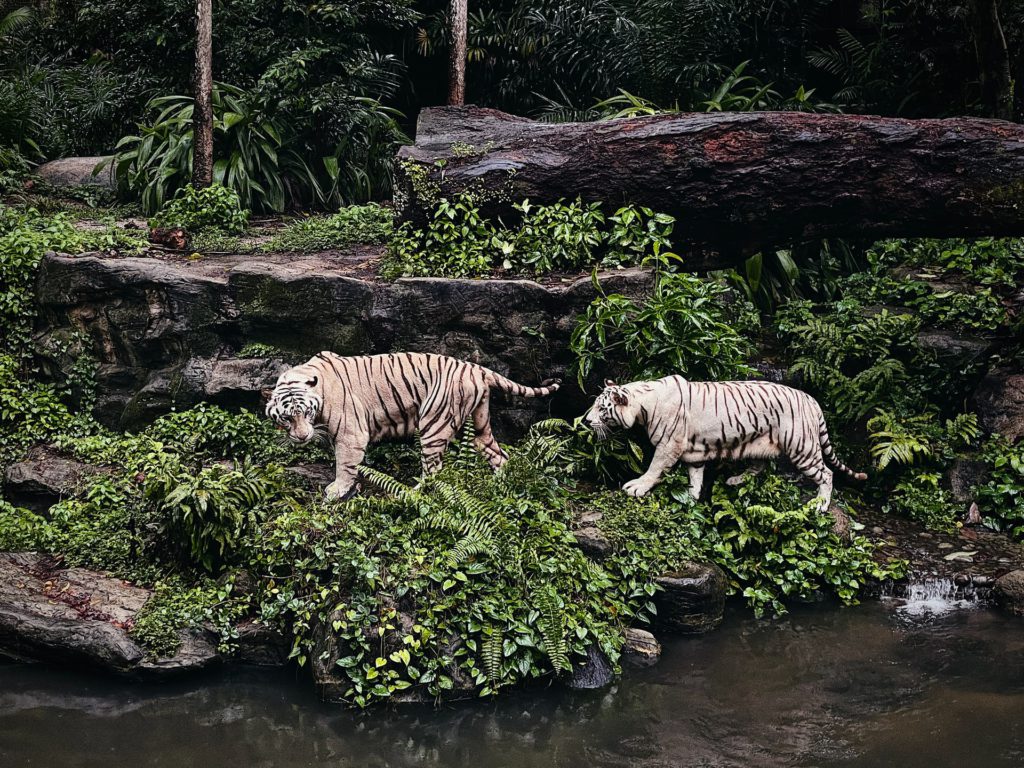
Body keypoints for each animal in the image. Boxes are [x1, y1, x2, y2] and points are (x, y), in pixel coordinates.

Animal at [264, 354, 561, 501]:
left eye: (306, 412)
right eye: (286, 418)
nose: (302, 437)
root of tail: (475, 367)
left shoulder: (351, 434)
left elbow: (345, 464)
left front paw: (337, 490)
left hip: (433, 425)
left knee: (434, 471)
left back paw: (410, 493)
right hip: (479, 423)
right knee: (497, 453)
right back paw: (500, 484)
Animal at [585, 376, 864, 507]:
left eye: (601, 408)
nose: (586, 421)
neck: (643, 404)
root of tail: (811, 399)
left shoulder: (668, 445)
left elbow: (654, 468)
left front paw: (637, 487)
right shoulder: (693, 452)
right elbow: (695, 476)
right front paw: (692, 498)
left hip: (801, 447)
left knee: (826, 473)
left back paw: (821, 504)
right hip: (759, 442)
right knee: (759, 466)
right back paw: (736, 479)